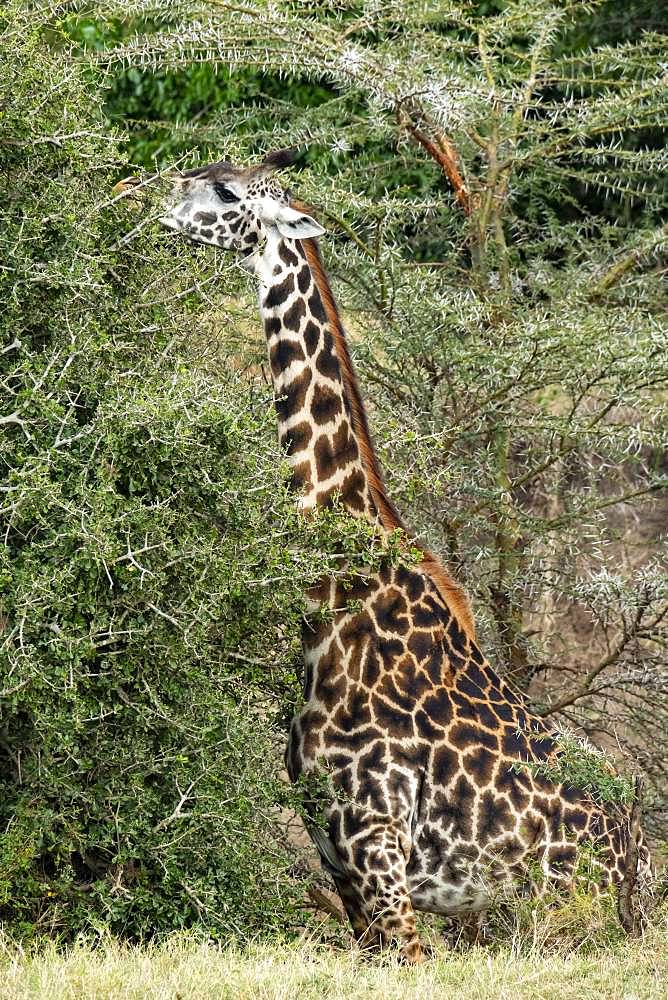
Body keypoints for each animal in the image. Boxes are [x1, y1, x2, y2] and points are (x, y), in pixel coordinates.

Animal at [122, 148, 648, 960]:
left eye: (228, 193)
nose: (133, 191)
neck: (333, 602)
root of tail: (641, 860)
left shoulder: (379, 854)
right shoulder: (339, 861)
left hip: (562, 916)